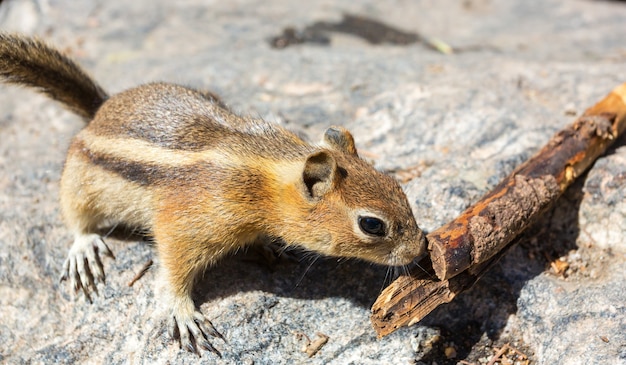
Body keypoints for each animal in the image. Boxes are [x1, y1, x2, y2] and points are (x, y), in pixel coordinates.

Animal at [0, 33, 424, 352]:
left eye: (397, 185)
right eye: (372, 225)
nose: (420, 249)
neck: (262, 183)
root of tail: (99, 111)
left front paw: (267, 245)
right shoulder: (184, 223)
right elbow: (172, 269)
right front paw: (183, 313)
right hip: (78, 178)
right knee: (75, 218)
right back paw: (84, 248)